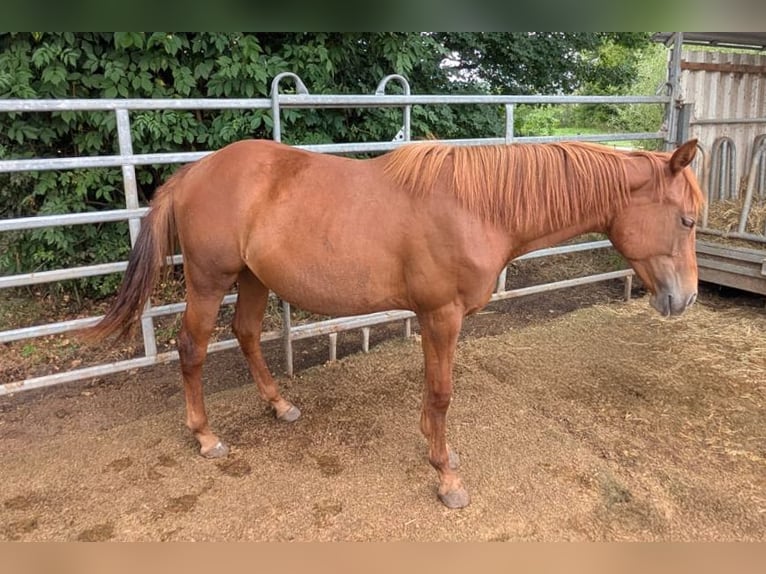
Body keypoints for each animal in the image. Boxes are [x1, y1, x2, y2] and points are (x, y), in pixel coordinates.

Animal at [84, 138, 703, 509]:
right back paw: (206, 436)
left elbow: (433, 394)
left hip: (253, 278)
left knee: (247, 335)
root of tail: (193, 173)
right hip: (210, 281)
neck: (478, 207)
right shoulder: (441, 316)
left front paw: (439, 451)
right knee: (190, 348)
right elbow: (442, 392)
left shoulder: (436, 320)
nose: (686, 298)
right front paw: (446, 478)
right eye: (687, 219)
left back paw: (280, 405)